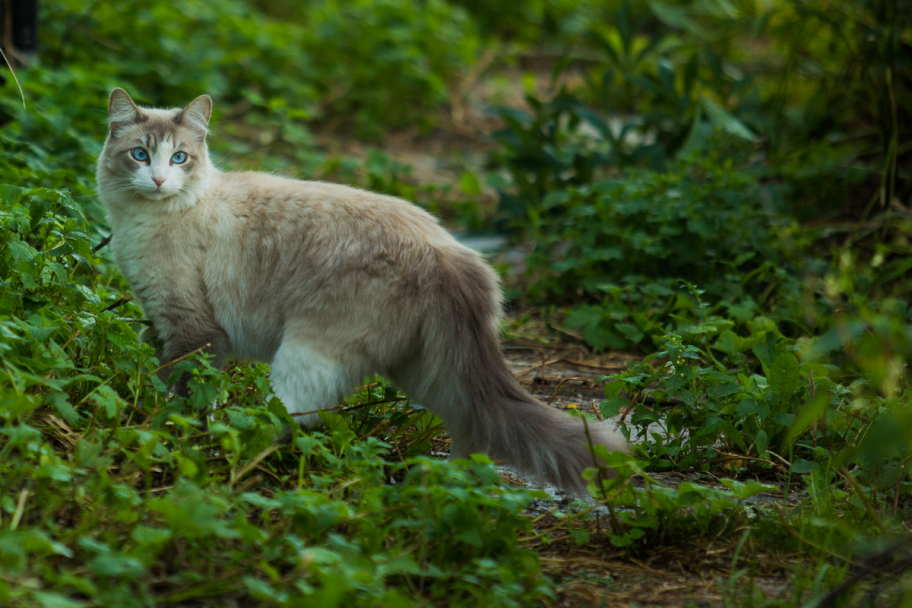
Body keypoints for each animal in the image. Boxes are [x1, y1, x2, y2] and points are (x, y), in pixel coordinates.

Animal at [98, 88, 628, 492]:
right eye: (140, 155)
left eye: (179, 158)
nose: (159, 179)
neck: (145, 221)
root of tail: (448, 250)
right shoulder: (160, 320)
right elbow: (151, 373)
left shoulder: (194, 331)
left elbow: (181, 397)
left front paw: (165, 436)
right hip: (428, 373)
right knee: (474, 429)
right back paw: (443, 487)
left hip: (305, 358)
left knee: (283, 423)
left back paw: (236, 462)